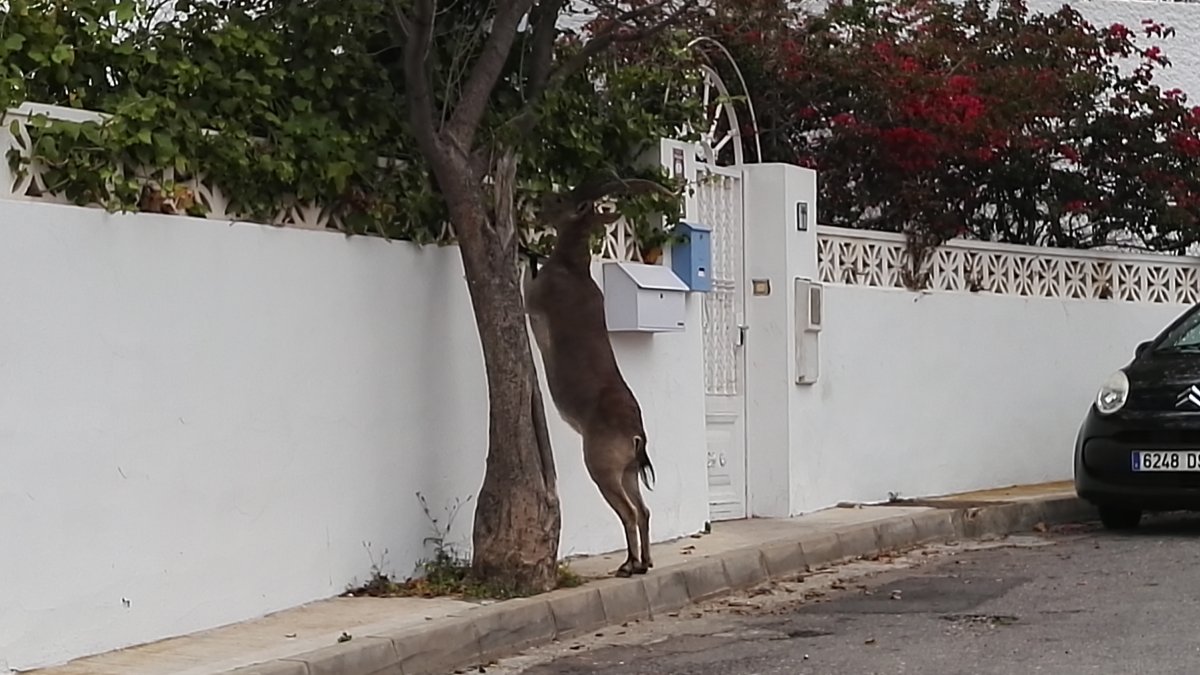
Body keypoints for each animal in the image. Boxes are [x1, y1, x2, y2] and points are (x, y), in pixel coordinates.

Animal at [522, 178, 667, 577]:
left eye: (560, 198)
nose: (535, 203)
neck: (572, 270)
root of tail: (636, 434)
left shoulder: (535, 299)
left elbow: (526, 282)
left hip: (602, 468)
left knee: (629, 512)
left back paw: (629, 565)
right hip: (628, 471)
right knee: (644, 510)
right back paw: (645, 562)